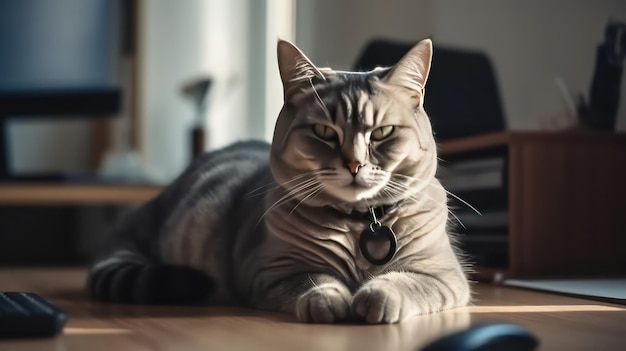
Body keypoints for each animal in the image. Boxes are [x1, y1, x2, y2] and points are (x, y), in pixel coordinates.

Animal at [86, 37, 468, 324]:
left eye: (382, 132)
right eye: (324, 132)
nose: (354, 164)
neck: (360, 225)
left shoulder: (445, 275)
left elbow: (407, 283)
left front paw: (376, 297)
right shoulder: (273, 271)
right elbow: (314, 279)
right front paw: (329, 300)